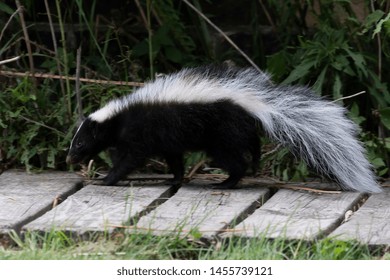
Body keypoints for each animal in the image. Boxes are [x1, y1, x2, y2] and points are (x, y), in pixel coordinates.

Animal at [66, 65, 380, 192]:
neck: (119, 116)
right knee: (252, 145)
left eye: (80, 143)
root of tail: (255, 103)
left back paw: (226, 182)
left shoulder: (140, 134)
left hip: (220, 137)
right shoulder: (166, 140)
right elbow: (174, 159)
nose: (69, 158)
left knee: (234, 161)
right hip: (236, 131)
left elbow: (128, 159)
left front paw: (107, 179)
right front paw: (175, 179)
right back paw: (254, 164)